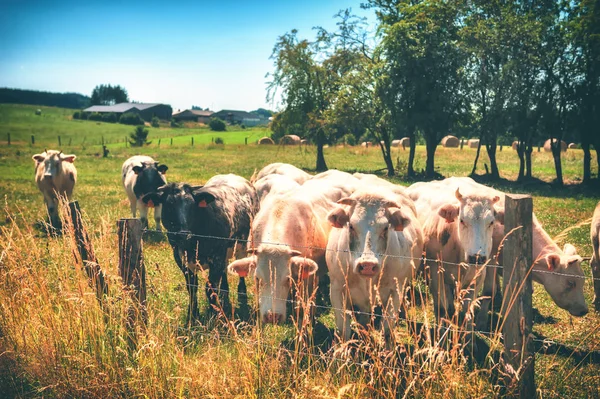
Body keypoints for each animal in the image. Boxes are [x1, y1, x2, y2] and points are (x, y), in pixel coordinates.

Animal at [145, 174, 260, 322]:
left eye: (192, 206)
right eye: (169, 205)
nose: (183, 234)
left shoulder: (216, 258)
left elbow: (210, 288)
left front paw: (213, 316)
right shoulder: (182, 260)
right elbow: (192, 287)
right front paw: (192, 314)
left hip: (242, 245)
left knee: (240, 270)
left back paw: (242, 295)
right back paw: (224, 295)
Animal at [326, 189, 424, 342]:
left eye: (385, 228)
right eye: (351, 226)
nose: (367, 265)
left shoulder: (395, 292)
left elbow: (387, 331)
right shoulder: (336, 289)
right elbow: (344, 331)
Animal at [404, 183, 506, 330]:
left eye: (491, 222)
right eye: (462, 220)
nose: (477, 257)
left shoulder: (478, 278)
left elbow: (468, 309)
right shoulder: (436, 275)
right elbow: (441, 307)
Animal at [428, 179, 588, 328]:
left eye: (582, 281)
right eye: (570, 283)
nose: (584, 310)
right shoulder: (490, 258)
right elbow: (488, 290)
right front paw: (482, 321)